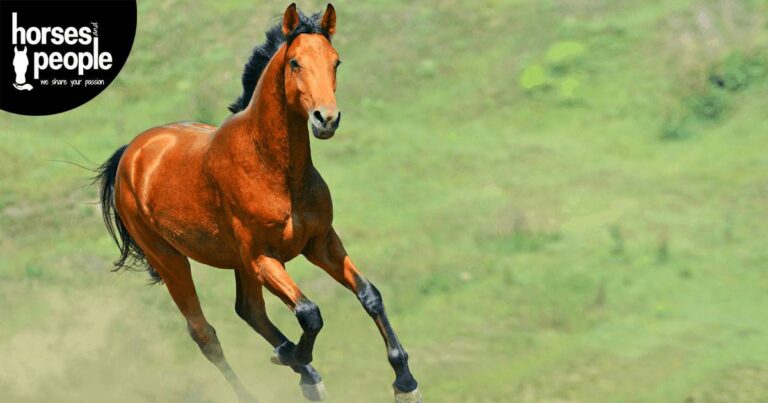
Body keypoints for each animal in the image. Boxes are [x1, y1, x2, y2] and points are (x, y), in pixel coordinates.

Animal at [94, 3, 421, 403]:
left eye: (336, 61)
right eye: (295, 62)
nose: (326, 119)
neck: (276, 172)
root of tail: (132, 153)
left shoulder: (320, 242)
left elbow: (369, 294)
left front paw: (405, 381)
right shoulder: (263, 257)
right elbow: (310, 312)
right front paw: (293, 357)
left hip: (237, 262)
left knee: (249, 310)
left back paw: (302, 369)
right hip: (170, 259)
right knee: (206, 334)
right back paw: (285, 370)